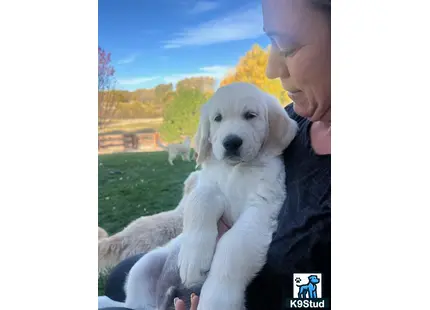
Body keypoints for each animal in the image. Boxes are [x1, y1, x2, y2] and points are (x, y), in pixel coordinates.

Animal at [122, 82, 296, 310]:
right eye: (217, 118)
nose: (231, 142)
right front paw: (193, 259)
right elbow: (200, 202)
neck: (236, 169)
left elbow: (233, 246)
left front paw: (217, 299)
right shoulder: (207, 184)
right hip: (143, 267)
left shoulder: (261, 207)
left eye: (251, 115)